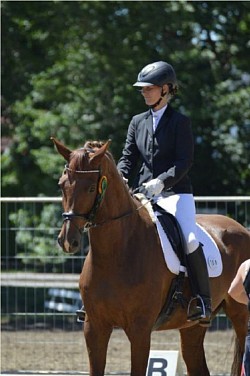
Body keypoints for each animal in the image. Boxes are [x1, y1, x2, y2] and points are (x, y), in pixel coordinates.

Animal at [51, 137, 249, 376]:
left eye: (90, 188)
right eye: (62, 185)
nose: (67, 240)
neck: (115, 253)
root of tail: (241, 228)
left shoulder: (140, 329)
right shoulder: (94, 327)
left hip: (240, 315)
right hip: (192, 327)